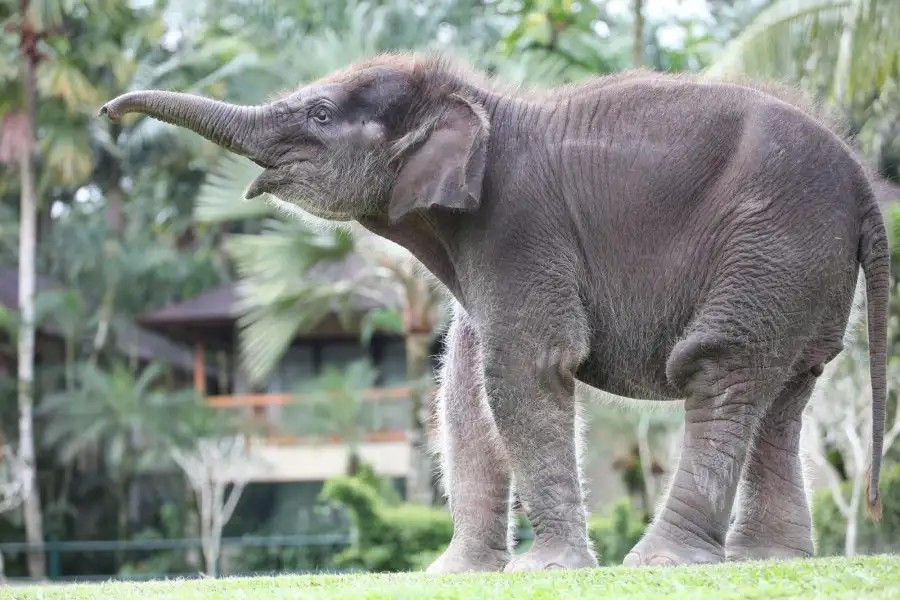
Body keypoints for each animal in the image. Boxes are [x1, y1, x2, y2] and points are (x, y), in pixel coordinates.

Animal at [101, 53, 889, 572]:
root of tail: (863, 186)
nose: (106, 114)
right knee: (786, 392)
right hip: (800, 271)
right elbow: (464, 387)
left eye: (321, 115)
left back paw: (663, 564)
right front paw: (456, 576)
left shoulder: (519, 226)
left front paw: (546, 573)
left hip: (773, 243)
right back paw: (769, 560)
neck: (473, 100)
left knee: (720, 369)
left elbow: (526, 369)